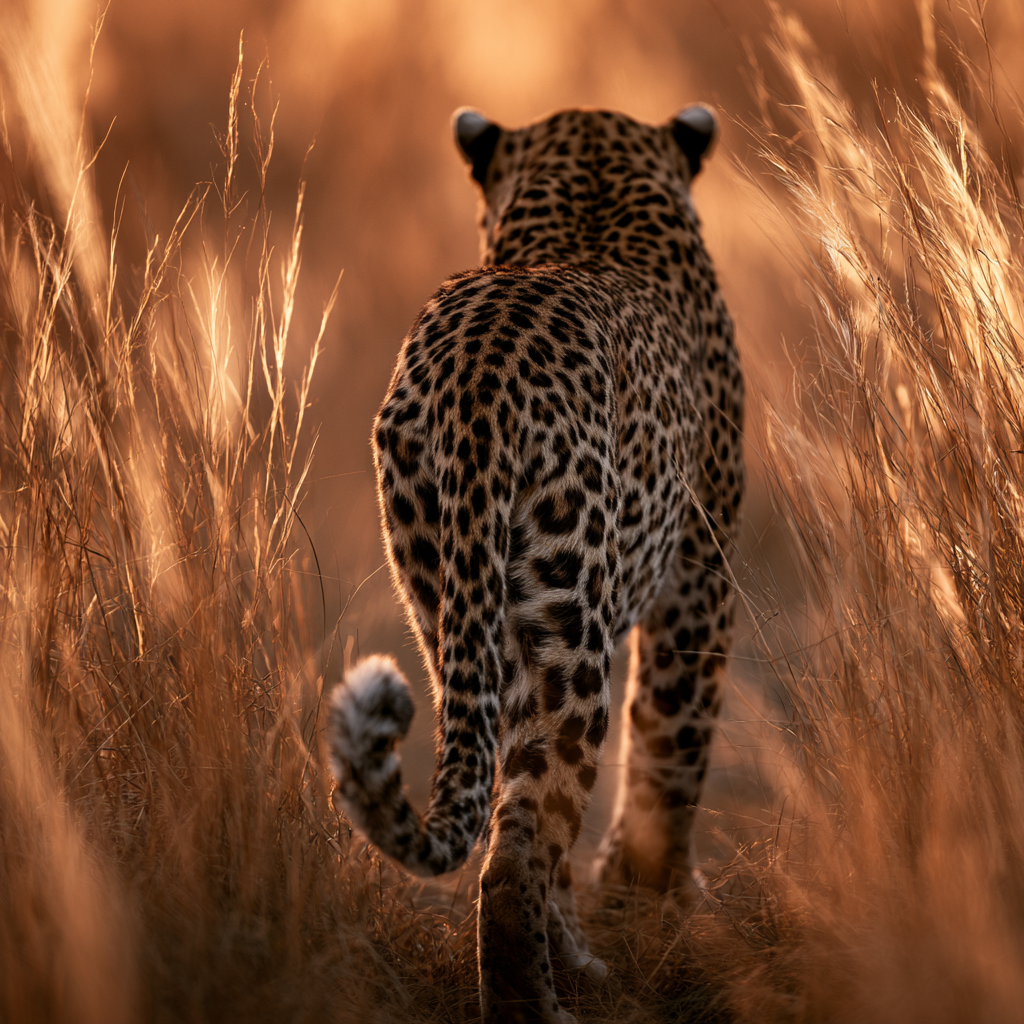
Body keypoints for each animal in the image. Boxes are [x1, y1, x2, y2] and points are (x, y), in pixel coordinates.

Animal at [328, 104, 744, 1024]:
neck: (590, 179)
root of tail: (480, 373)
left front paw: (603, 931)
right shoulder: (699, 580)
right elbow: (671, 747)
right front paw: (659, 904)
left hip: (452, 603)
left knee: (509, 814)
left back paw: (562, 969)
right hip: (565, 633)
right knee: (514, 854)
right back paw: (543, 1003)